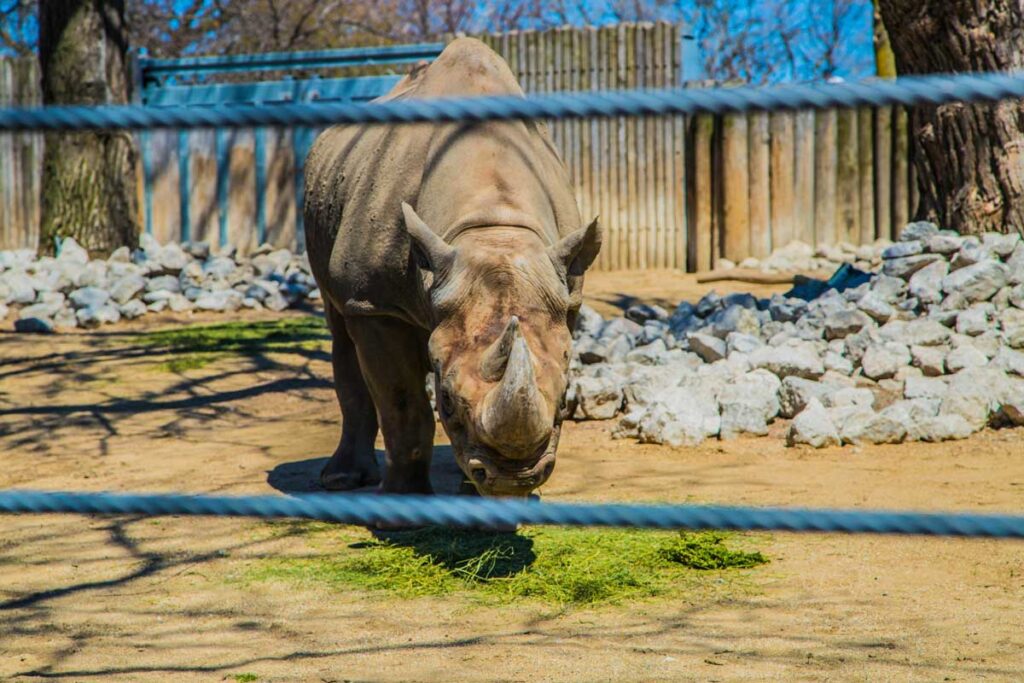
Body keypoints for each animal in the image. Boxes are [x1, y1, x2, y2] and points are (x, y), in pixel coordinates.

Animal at [303, 38, 601, 497]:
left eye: (567, 398)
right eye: (445, 399)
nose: (513, 480)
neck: (492, 224)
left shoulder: (564, 295)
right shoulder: (376, 303)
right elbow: (403, 405)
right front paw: (404, 503)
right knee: (340, 323)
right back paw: (341, 479)